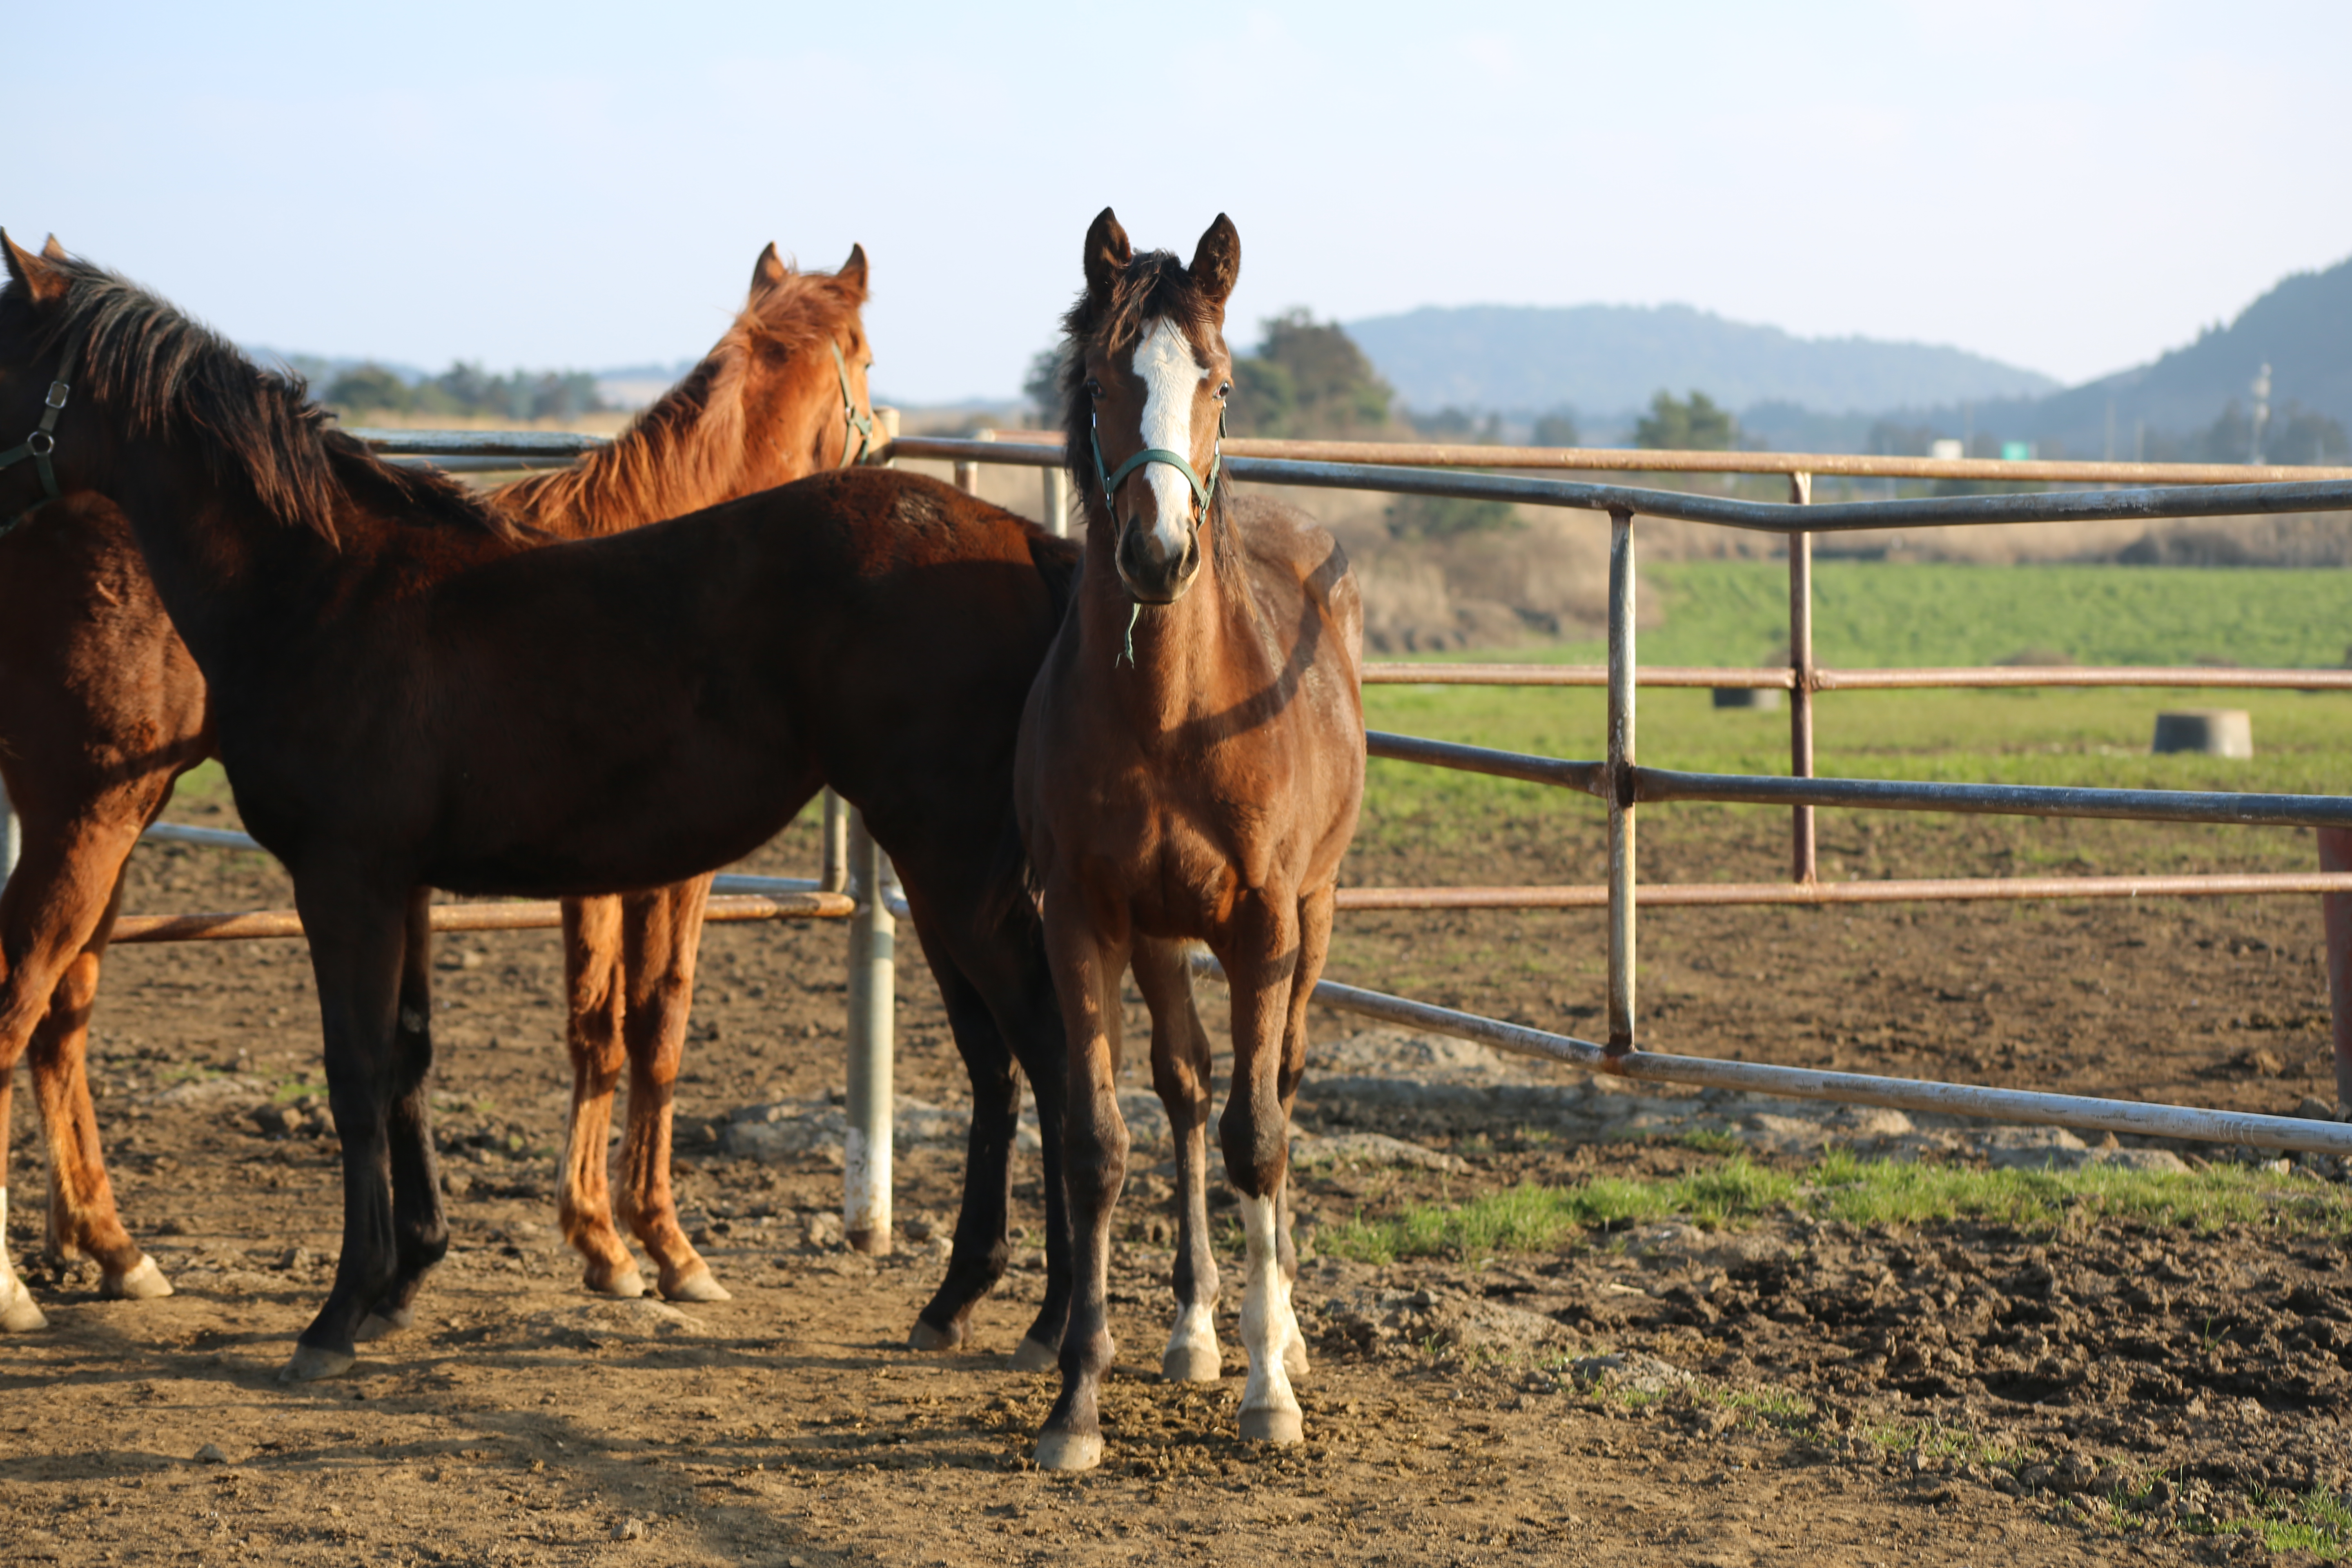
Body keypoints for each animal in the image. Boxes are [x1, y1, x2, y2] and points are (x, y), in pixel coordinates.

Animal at [0, 236, 1077, 1382]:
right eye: (866, 357)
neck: (323, 585)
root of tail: (1023, 541)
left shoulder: (358, 881)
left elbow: (378, 1071)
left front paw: (348, 1310)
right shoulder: (399, 885)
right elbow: (419, 1059)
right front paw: (412, 1280)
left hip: (947, 860)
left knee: (1041, 1048)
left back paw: (1043, 1315)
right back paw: (969, 1301)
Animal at [1011, 208, 1364, 1476]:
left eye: (1215, 380)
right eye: (1105, 379)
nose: (1157, 555)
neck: (1173, 710)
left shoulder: (1262, 923)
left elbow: (1260, 1138)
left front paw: (1271, 1393)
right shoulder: (1081, 918)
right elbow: (1098, 1141)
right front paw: (1078, 1403)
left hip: (1313, 915)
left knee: (1277, 1085)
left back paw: (1283, 1332)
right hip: (1163, 938)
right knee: (1187, 1087)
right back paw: (1194, 1330)